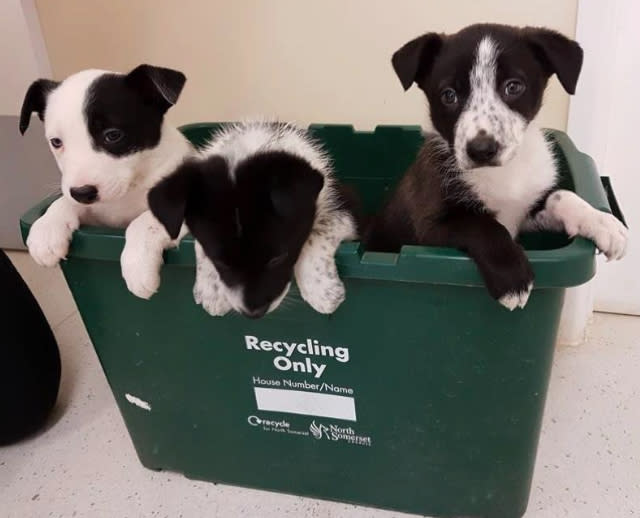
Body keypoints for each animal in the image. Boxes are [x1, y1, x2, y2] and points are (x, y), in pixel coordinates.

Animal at [20, 67, 195, 298]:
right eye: (56, 142)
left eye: (113, 135)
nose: (82, 193)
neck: (129, 190)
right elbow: (64, 201)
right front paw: (47, 228)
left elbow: (144, 221)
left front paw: (137, 264)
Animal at [149, 120, 360, 318]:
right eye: (220, 262)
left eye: (278, 258)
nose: (254, 313)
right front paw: (212, 290)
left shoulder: (347, 207)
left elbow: (318, 230)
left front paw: (321, 289)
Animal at [368, 23, 628, 308]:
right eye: (449, 95)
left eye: (513, 87)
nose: (481, 150)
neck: (502, 173)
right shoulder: (429, 224)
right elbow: (484, 226)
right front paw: (512, 279)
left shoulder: (526, 210)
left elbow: (562, 195)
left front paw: (603, 222)